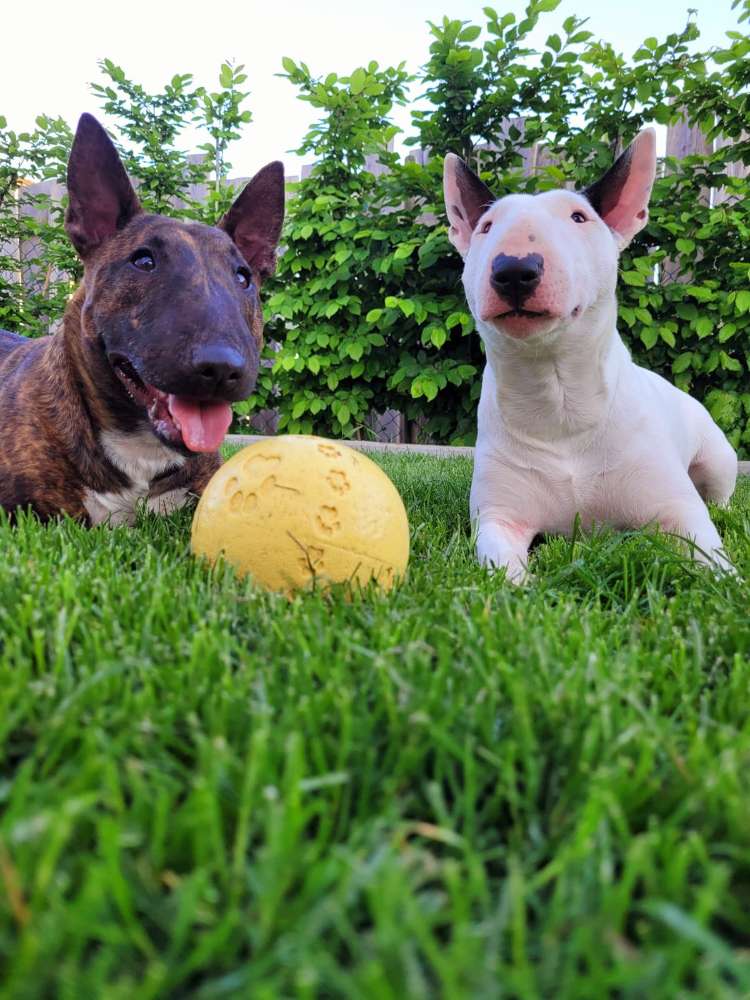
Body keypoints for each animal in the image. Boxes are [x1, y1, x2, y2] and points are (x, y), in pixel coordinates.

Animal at [444, 128, 736, 580]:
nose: (514, 270)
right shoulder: (498, 518)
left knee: (720, 496)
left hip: (720, 458)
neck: (559, 400)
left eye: (578, 217)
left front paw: (729, 579)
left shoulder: (679, 511)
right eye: (486, 227)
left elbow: (716, 564)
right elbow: (501, 568)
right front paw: (523, 585)